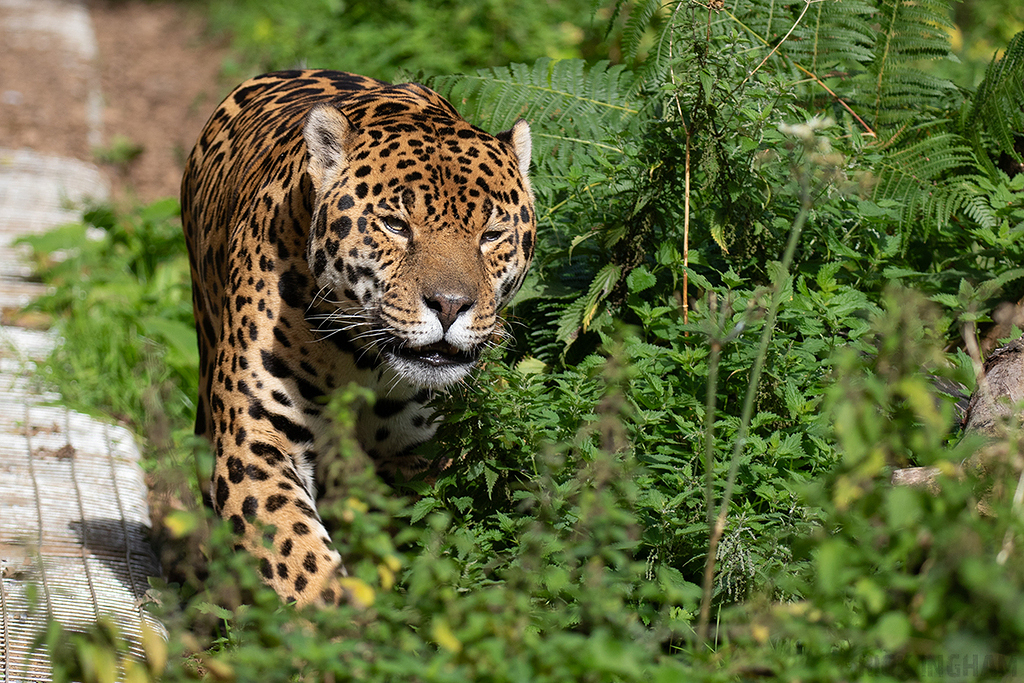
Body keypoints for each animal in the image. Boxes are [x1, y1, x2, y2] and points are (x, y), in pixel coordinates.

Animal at [180, 69, 535, 606]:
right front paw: (340, 622)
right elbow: (298, 558)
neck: (360, 361)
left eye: (491, 235)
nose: (451, 305)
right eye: (395, 225)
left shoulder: (425, 454)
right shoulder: (253, 443)